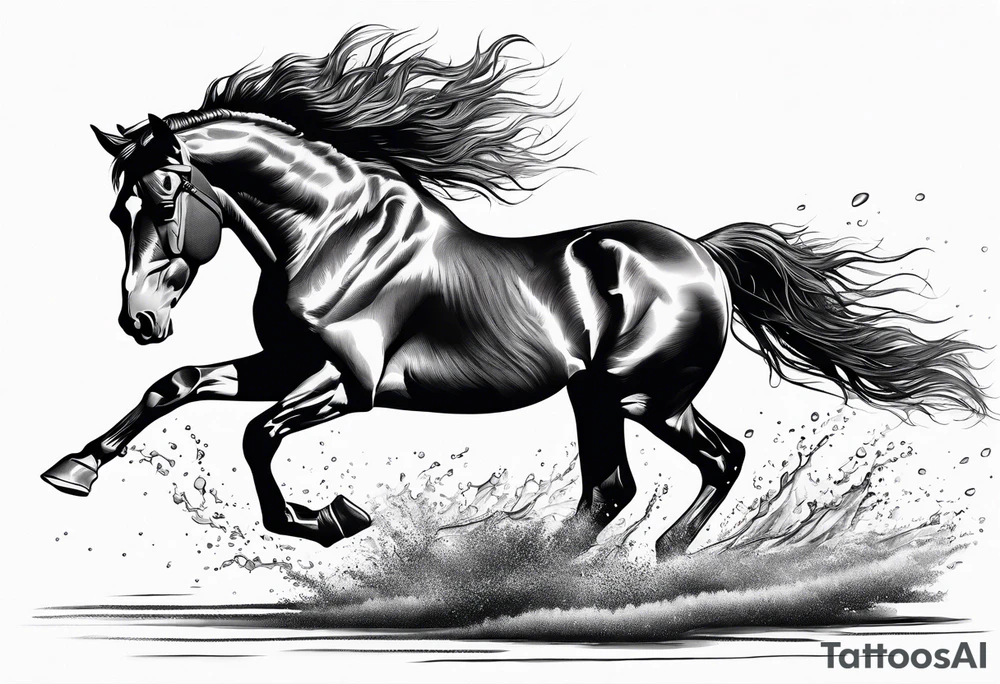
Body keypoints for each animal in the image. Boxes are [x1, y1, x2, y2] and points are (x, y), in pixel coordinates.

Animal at [41, 27, 989, 558]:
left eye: (165, 194)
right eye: (117, 209)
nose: (140, 319)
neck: (328, 233)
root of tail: (704, 257)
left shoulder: (349, 384)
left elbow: (255, 438)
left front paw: (335, 518)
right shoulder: (283, 363)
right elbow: (177, 387)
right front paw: (72, 470)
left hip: (637, 394)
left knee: (694, 466)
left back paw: (599, 561)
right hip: (605, 395)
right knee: (632, 483)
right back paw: (557, 567)